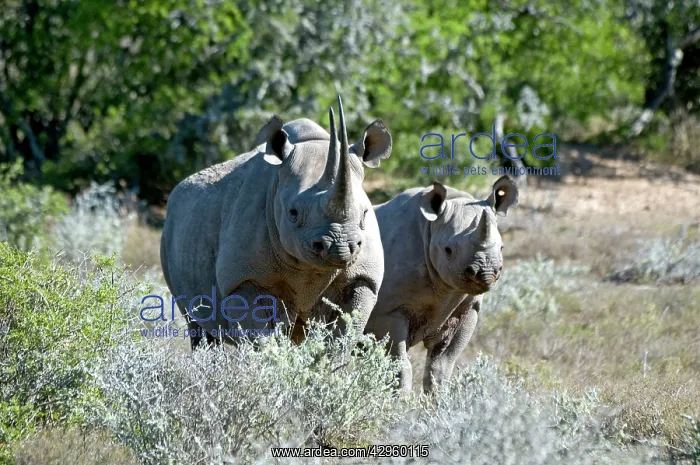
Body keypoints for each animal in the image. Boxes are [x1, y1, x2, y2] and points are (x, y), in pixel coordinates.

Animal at [160, 96, 392, 348]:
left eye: (365, 213)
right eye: (293, 213)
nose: (339, 248)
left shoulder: (363, 278)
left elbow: (342, 337)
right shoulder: (243, 278)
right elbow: (260, 339)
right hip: (171, 229)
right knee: (197, 325)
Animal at [365, 176, 519, 392]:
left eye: (502, 247)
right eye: (448, 250)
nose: (486, 273)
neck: (431, 227)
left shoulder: (466, 307)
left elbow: (441, 366)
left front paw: (439, 399)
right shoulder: (388, 310)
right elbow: (399, 364)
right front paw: (400, 399)